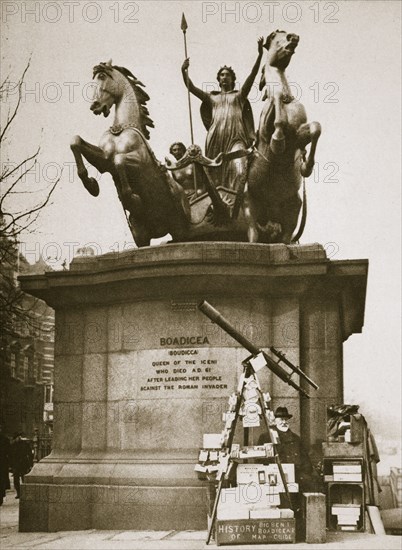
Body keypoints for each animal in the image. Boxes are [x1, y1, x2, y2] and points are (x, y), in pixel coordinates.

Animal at [70, 59, 190, 247]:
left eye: (102, 76)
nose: (94, 106)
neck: (121, 129)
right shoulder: (104, 160)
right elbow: (75, 141)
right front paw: (91, 185)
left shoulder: (137, 161)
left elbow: (119, 160)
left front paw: (132, 198)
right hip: (141, 235)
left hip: (180, 229)